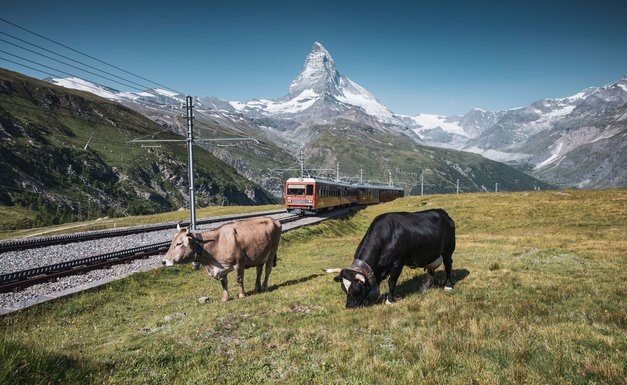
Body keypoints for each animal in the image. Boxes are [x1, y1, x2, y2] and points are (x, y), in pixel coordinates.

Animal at [326, 208, 454, 308]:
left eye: (356, 288)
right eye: (344, 288)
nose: (349, 306)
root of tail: (443, 213)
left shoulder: (398, 263)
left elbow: (391, 282)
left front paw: (389, 300)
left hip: (448, 251)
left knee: (448, 265)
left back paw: (448, 286)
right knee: (430, 270)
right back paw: (425, 287)